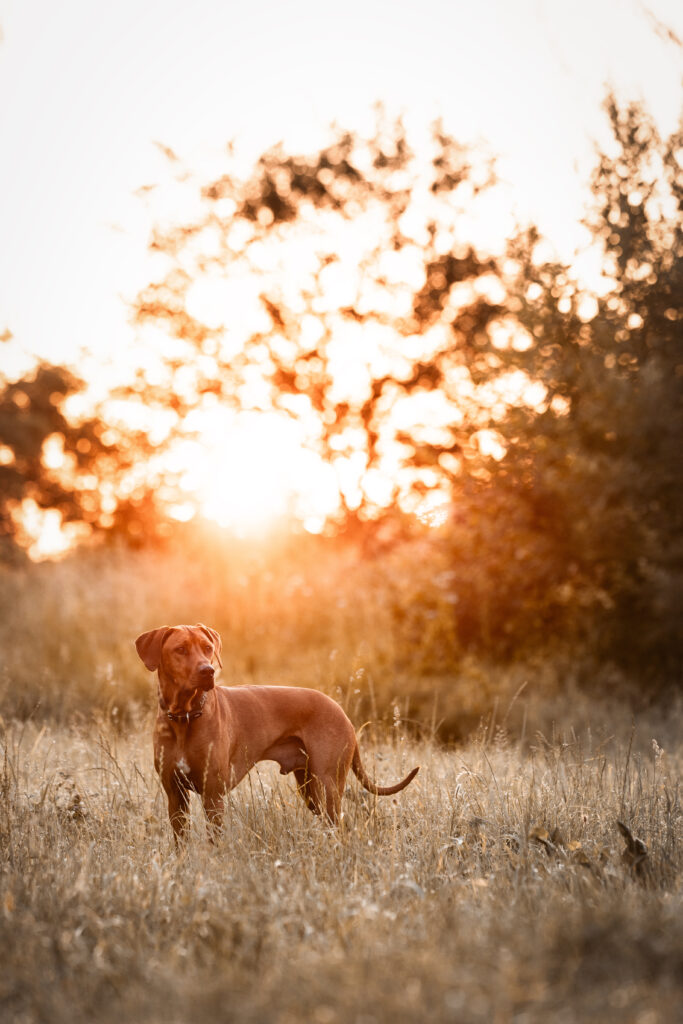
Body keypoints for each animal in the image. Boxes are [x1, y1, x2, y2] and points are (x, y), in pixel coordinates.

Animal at [135, 622, 419, 839]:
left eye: (207, 648)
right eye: (180, 649)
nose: (208, 670)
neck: (184, 717)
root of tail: (342, 712)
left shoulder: (213, 795)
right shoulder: (175, 795)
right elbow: (180, 842)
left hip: (327, 784)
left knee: (339, 825)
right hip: (310, 788)